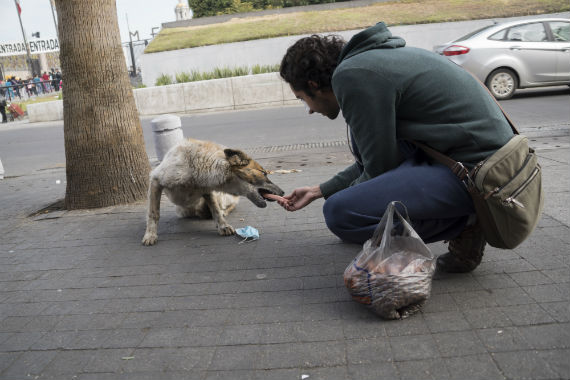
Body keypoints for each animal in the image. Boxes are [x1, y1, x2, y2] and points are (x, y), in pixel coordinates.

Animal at [141, 138, 282, 245]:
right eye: (263, 173)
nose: (283, 193)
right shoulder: (155, 180)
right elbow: (154, 213)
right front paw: (150, 235)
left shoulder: (208, 190)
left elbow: (216, 210)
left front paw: (223, 226)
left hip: (222, 197)